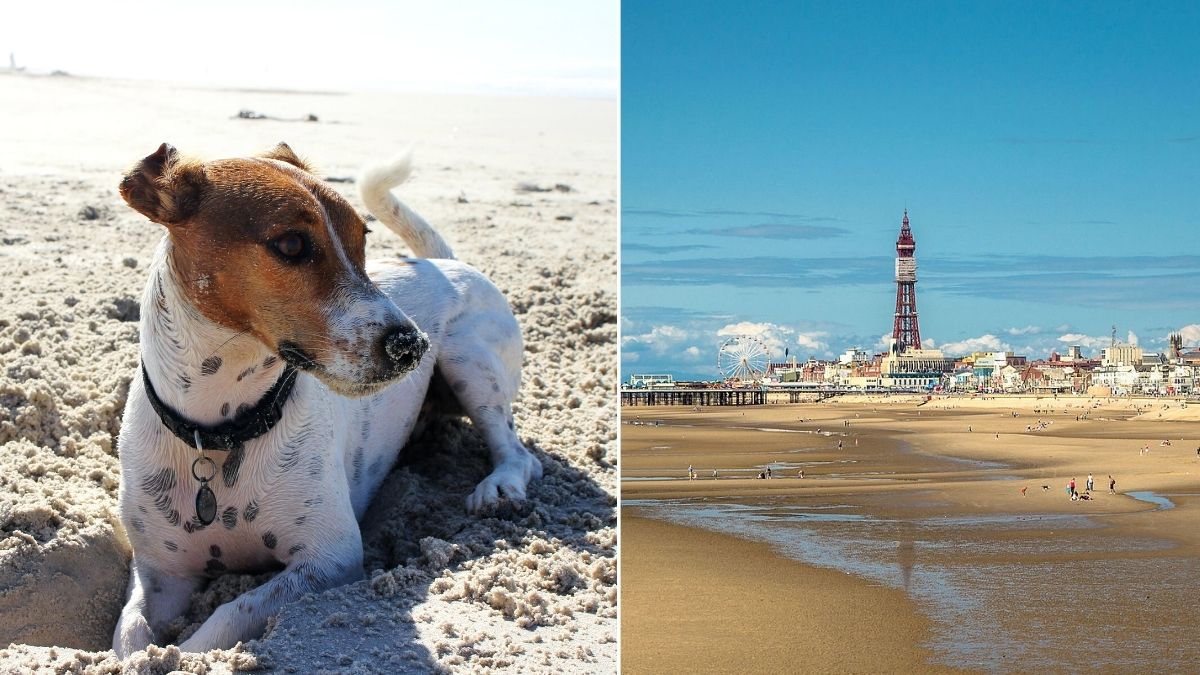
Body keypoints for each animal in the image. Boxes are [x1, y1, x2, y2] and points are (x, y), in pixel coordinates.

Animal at [112, 142, 544, 658]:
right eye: (291, 245)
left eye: (363, 238)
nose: (412, 345)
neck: (220, 431)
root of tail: (451, 262)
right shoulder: (161, 574)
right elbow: (130, 632)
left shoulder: (330, 559)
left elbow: (228, 615)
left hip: (470, 360)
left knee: (517, 451)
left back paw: (499, 486)